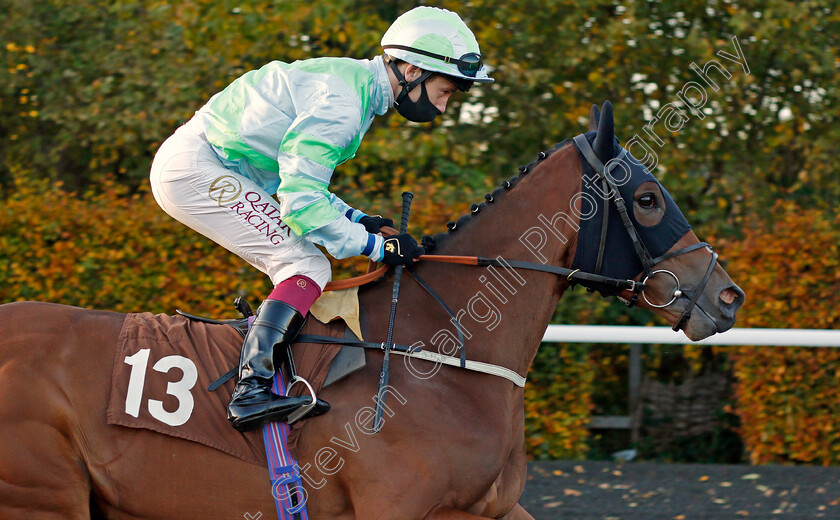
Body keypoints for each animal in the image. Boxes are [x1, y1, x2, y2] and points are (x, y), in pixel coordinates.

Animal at [3, 102, 744, 520]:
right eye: (647, 199)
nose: (726, 294)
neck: (439, 354)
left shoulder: (488, 510)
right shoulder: (396, 506)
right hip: (43, 495)